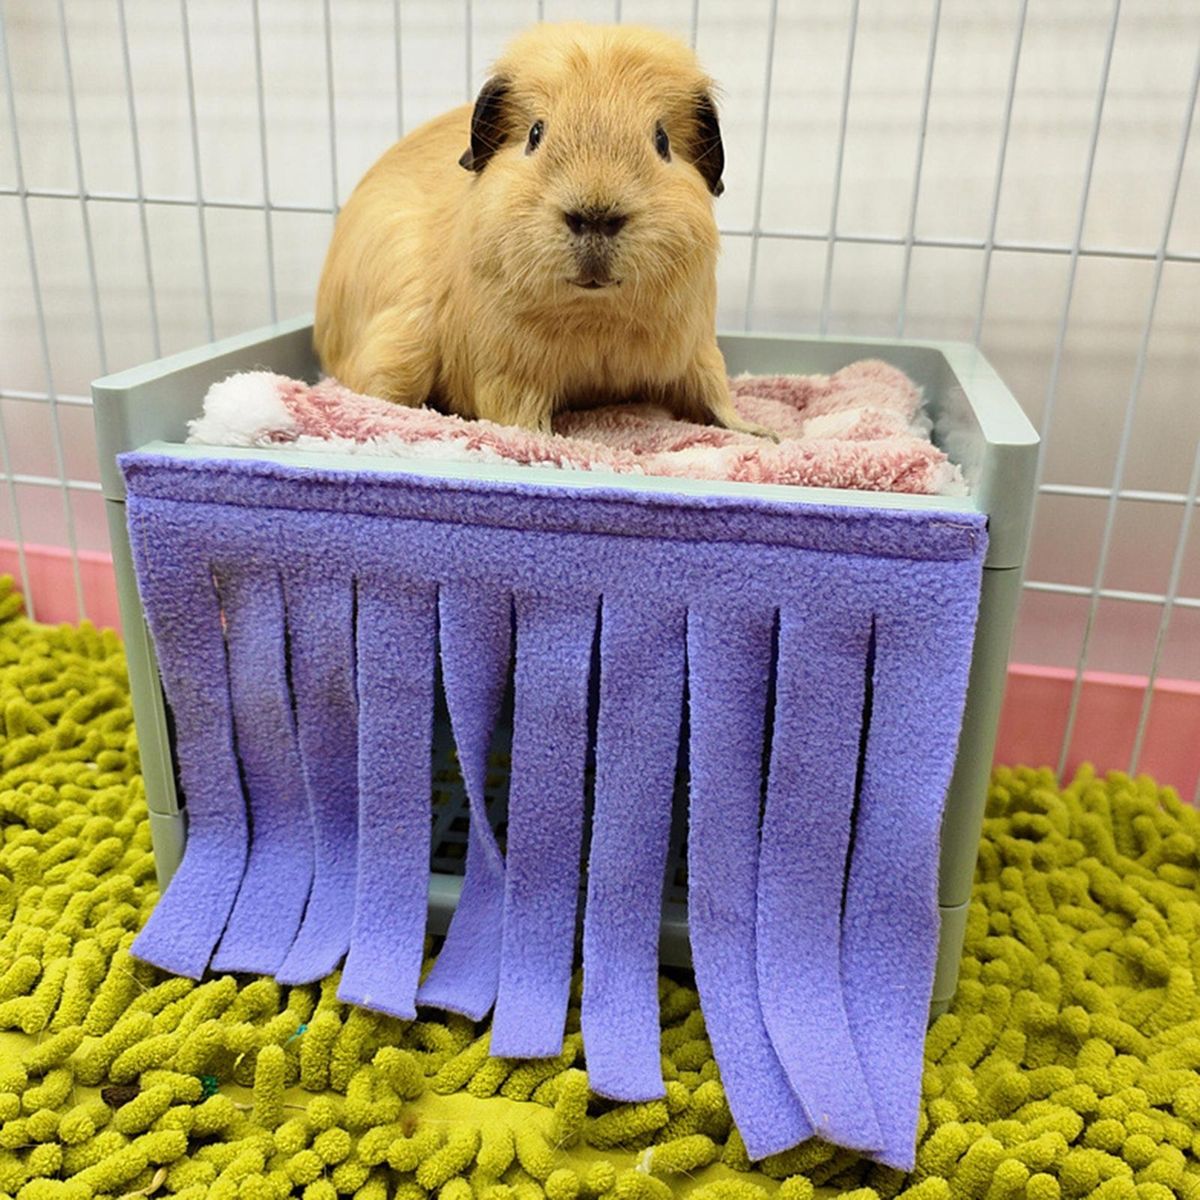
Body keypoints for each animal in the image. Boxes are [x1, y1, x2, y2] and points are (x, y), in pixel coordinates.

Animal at [315, 22, 770, 438]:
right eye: (535, 133)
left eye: (662, 142)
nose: (595, 216)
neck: (595, 319)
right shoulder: (508, 374)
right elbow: (522, 419)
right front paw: (551, 441)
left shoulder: (697, 351)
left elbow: (715, 398)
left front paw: (764, 433)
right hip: (400, 348)